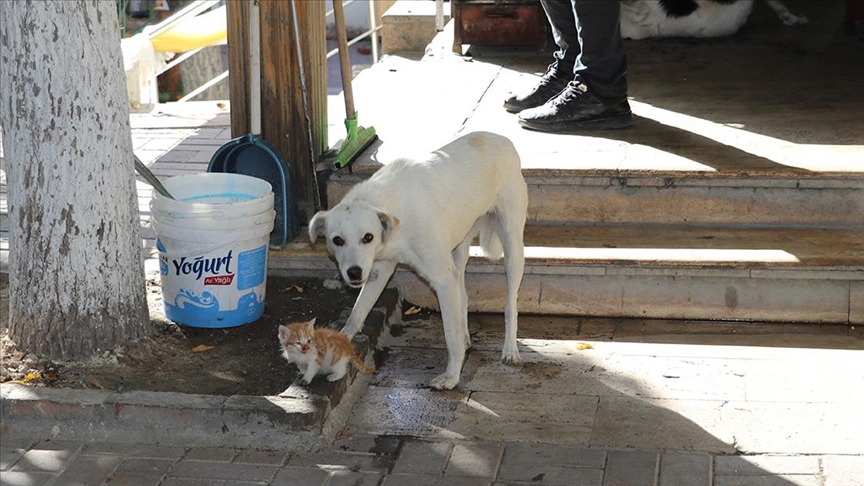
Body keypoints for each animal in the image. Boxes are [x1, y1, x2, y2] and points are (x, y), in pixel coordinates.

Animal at [310, 131, 528, 390]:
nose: (354, 273)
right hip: (458, 247)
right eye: (337, 240)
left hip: (512, 245)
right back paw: (467, 336)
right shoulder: (379, 272)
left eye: (368, 237)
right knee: (463, 295)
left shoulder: (442, 279)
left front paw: (452, 377)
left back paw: (510, 350)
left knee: (511, 303)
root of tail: (500, 138)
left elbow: (450, 335)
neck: (395, 216)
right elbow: (355, 316)